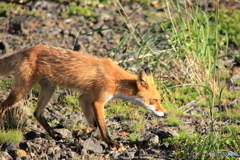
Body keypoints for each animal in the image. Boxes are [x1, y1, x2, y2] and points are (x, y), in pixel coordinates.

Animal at [0, 44, 168, 146]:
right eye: (154, 100)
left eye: (160, 100)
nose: (166, 113)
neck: (115, 79)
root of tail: (27, 49)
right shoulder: (98, 101)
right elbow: (102, 126)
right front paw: (111, 143)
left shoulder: (85, 98)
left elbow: (93, 125)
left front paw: (79, 133)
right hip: (22, 91)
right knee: (3, 106)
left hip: (49, 90)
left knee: (37, 113)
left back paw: (55, 135)